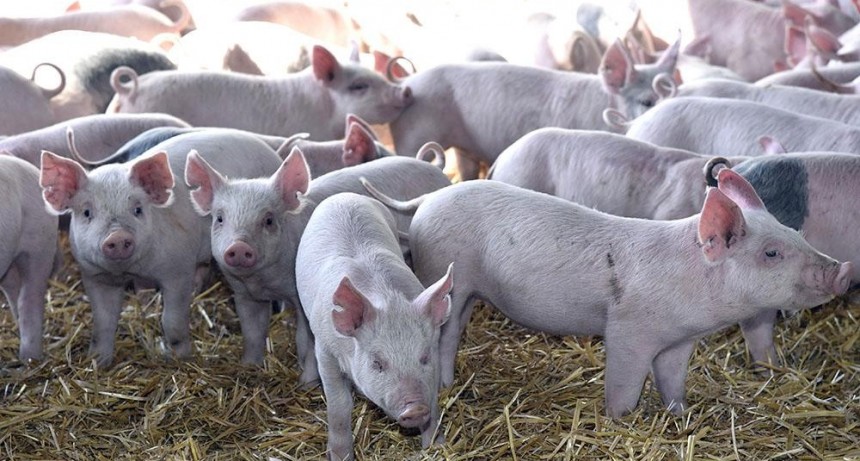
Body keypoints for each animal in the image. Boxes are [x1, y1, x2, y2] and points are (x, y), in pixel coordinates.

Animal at [39, 130, 282, 367]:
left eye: (137, 209)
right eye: (87, 212)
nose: (117, 236)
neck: (131, 270)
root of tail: (271, 152)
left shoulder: (178, 269)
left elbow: (171, 320)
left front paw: (180, 358)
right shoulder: (94, 276)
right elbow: (103, 322)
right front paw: (98, 362)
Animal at [184, 151, 450, 366]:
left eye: (268, 219)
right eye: (219, 218)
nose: (239, 246)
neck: (265, 282)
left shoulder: (300, 296)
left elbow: (305, 340)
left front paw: (307, 383)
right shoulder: (244, 295)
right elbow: (252, 333)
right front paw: (249, 367)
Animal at [296, 192, 453, 459]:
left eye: (424, 357)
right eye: (377, 363)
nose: (415, 408)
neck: (387, 298)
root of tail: (345, 196)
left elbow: (433, 398)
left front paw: (436, 446)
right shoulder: (326, 351)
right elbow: (339, 405)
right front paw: (340, 455)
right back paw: (306, 382)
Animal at [362, 172, 853, 416]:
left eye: (795, 233)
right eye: (771, 253)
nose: (843, 271)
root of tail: (427, 199)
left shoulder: (679, 341)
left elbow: (672, 379)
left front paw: (680, 414)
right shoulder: (629, 330)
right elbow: (624, 382)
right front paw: (620, 420)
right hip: (444, 273)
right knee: (443, 336)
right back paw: (446, 387)